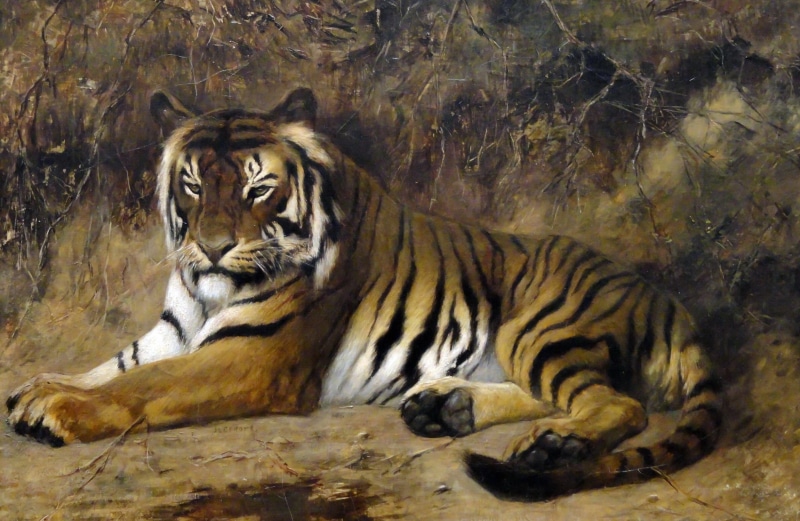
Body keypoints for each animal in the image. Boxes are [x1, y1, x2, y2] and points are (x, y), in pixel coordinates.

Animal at [6, 87, 722, 501]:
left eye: (257, 188)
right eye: (192, 185)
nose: (209, 249)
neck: (207, 293)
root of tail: (668, 300)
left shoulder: (253, 359)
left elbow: (143, 386)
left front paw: (56, 411)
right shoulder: (173, 333)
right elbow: (111, 366)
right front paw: (34, 389)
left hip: (537, 326)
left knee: (619, 402)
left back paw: (555, 444)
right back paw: (447, 407)